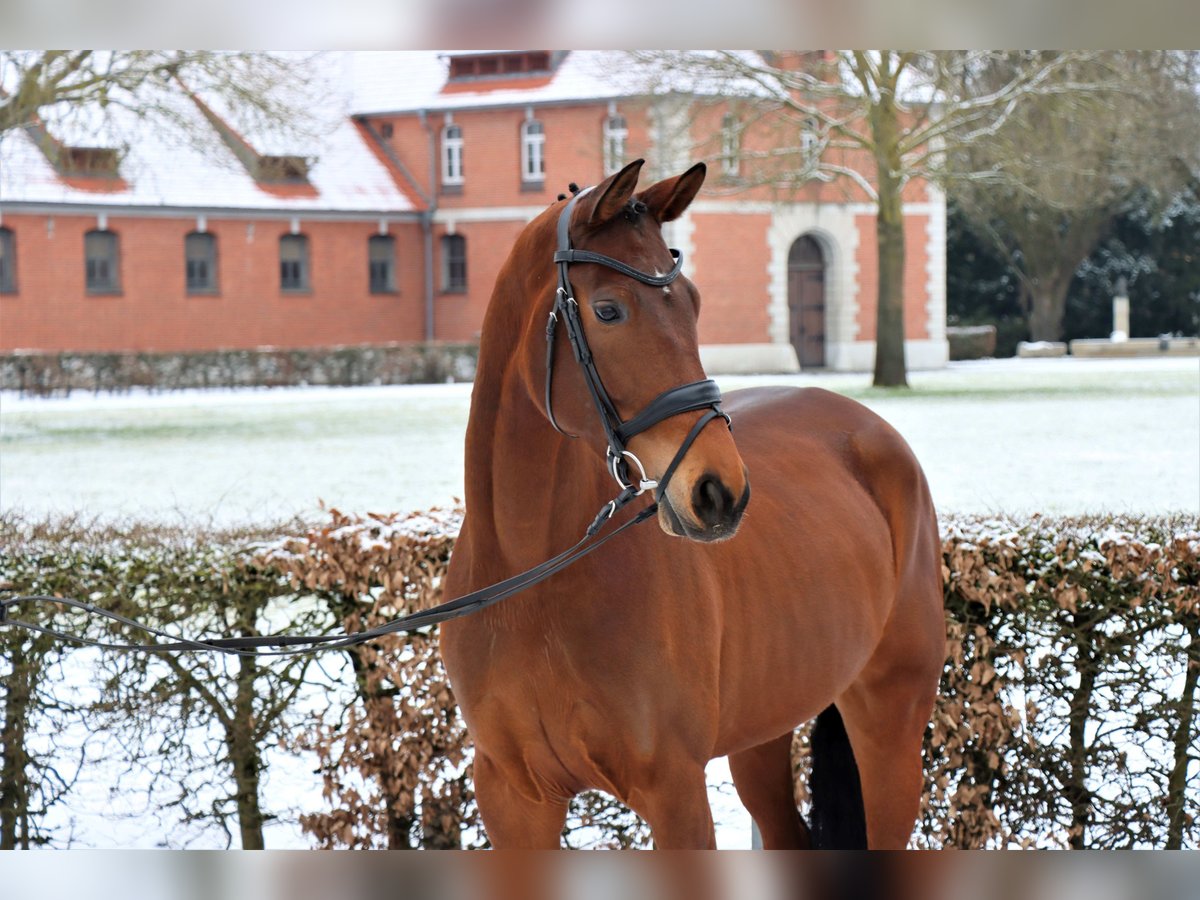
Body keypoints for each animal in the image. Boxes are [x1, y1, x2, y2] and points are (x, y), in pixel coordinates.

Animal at [441, 160, 945, 854]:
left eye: (694, 303)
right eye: (608, 310)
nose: (719, 492)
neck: (533, 579)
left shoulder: (673, 790)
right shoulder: (514, 799)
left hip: (889, 721)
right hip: (762, 735)